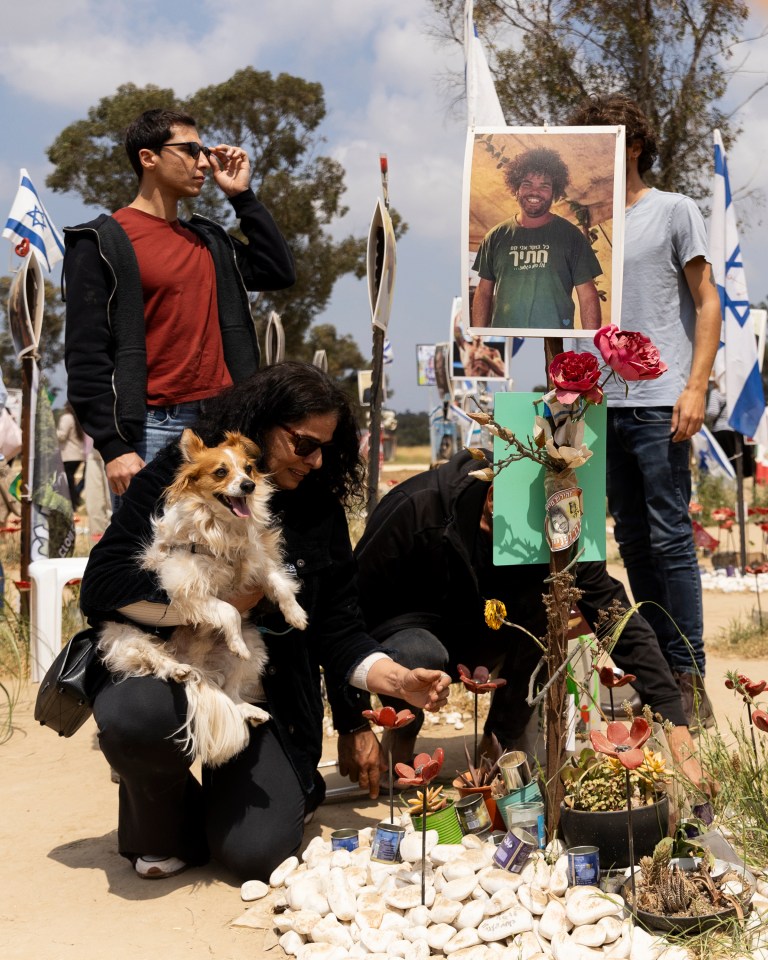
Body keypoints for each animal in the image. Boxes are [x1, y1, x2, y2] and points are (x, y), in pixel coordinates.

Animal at [97, 428, 308, 764]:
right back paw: (177, 669)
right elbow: (228, 611)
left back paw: (249, 709)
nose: (248, 485)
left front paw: (296, 615)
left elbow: (279, 582)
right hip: (127, 637)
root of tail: (199, 667)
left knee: (232, 692)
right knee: (155, 657)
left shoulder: (256, 561)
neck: (222, 527)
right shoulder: (186, 584)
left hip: (255, 649)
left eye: (248, 469)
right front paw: (234, 636)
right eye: (221, 472)